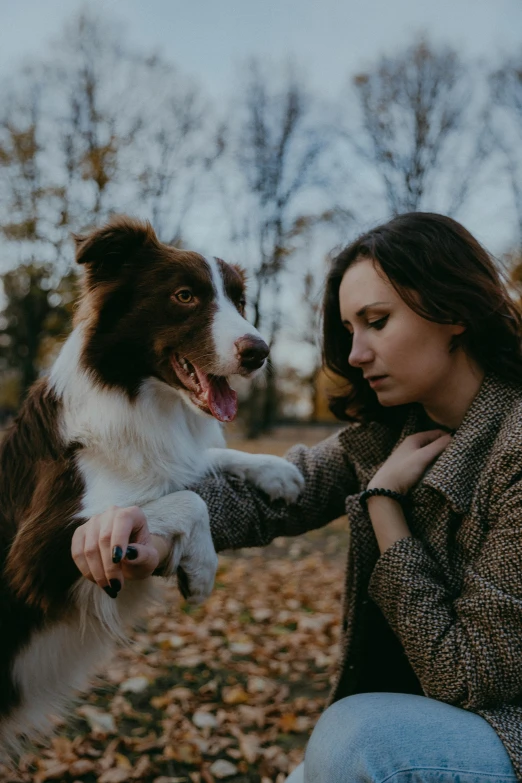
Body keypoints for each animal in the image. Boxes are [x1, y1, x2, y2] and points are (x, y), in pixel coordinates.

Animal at [0, 217, 302, 756]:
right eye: (185, 296)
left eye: (240, 301)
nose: (260, 352)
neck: (142, 398)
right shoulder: (30, 557)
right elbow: (185, 498)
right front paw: (202, 568)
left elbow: (200, 464)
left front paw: (275, 470)